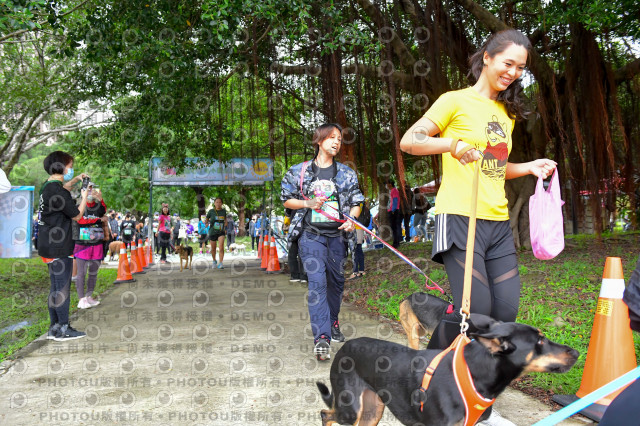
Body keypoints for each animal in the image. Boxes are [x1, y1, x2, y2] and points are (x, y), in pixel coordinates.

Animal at [318, 312, 576, 426]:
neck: (474, 372)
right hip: (351, 409)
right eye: (540, 341)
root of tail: (344, 347)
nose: (575, 353)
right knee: (325, 413)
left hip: (372, 410)